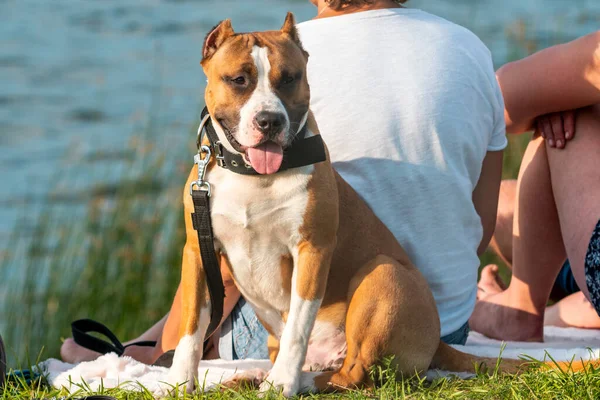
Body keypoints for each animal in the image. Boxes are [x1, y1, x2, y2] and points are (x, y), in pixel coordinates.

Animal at [165, 12, 596, 396]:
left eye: (289, 78)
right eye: (239, 80)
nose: (269, 120)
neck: (254, 177)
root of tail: (439, 339)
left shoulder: (312, 250)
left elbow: (298, 328)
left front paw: (283, 383)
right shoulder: (198, 251)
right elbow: (191, 328)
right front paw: (179, 382)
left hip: (384, 275)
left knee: (355, 374)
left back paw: (295, 381)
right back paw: (253, 376)